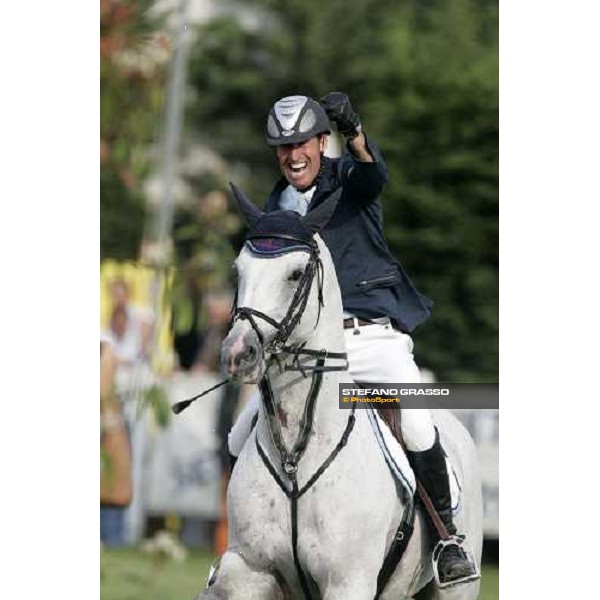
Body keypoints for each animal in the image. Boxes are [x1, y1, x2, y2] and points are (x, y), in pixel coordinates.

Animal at [197, 185, 482, 596]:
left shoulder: (348, 582)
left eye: (296, 273)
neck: (296, 456)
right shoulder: (250, 568)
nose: (238, 353)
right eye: (239, 270)